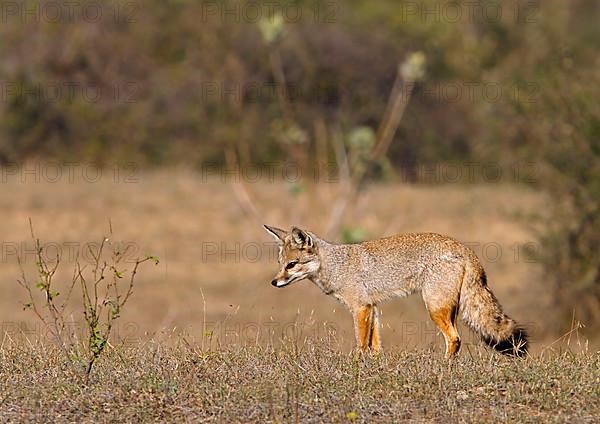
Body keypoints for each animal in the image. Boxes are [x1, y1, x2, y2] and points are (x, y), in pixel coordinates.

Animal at [264, 225, 528, 358]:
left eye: (291, 265)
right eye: (280, 264)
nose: (274, 282)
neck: (337, 265)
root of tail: (464, 248)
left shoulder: (360, 308)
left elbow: (361, 345)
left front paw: (356, 368)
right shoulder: (373, 308)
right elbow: (376, 347)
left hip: (435, 309)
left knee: (454, 339)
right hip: (448, 309)